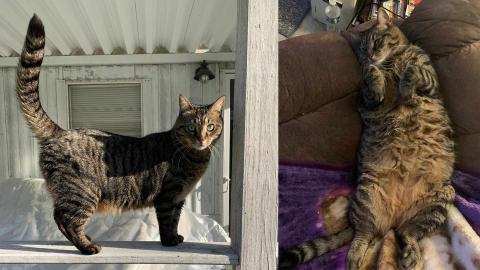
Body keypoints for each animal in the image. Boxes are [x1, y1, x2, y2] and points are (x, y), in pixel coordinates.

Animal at [15, 14, 225, 255]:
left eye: (211, 127)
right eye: (191, 127)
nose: (201, 138)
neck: (194, 158)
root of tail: (61, 131)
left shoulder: (179, 199)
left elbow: (175, 220)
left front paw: (175, 237)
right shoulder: (168, 196)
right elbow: (166, 221)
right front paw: (168, 241)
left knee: (59, 216)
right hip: (82, 193)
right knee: (67, 220)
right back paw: (88, 246)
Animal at [280, 8, 456, 270]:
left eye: (376, 42)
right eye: (363, 49)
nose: (371, 55)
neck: (391, 61)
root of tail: (394, 216)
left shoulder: (430, 81)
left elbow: (414, 71)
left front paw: (405, 84)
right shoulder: (368, 103)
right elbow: (373, 80)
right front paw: (375, 74)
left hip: (438, 201)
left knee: (408, 233)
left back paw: (410, 254)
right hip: (368, 195)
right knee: (364, 234)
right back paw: (355, 258)